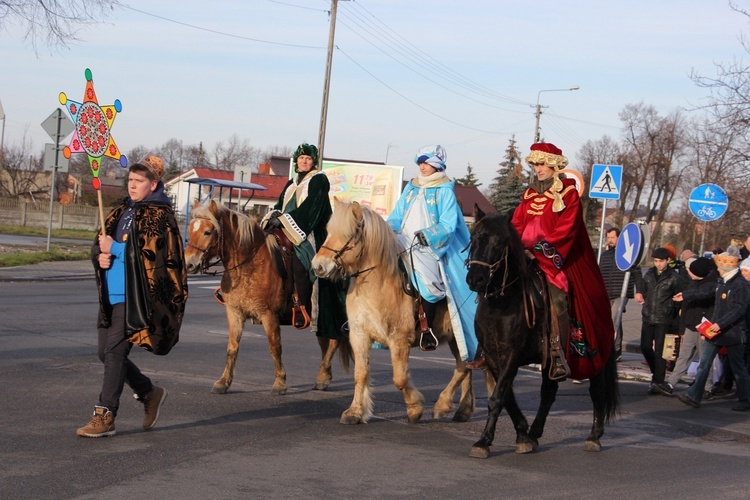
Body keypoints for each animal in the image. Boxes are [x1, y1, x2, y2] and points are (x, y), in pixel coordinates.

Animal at [185, 199, 340, 394]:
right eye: (190, 229)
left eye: (208, 232)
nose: (189, 264)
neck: (249, 266)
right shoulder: (234, 312)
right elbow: (232, 347)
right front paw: (223, 382)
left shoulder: (269, 314)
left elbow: (275, 347)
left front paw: (280, 382)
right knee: (325, 341)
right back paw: (324, 376)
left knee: (333, 341)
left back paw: (322, 377)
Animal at [312, 199, 494, 426]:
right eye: (328, 231)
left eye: (351, 233)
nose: (318, 266)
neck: (378, 284)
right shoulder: (359, 336)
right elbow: (360, 374)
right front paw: (355, 412)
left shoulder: (399, 340)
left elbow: (399, 378)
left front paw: (415, 408)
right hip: (457, 338)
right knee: (466, 366)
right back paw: (461, 410)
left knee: (466, 367)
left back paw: (445, 405)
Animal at [468, 206, 620, 454]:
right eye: (473, 238)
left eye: (499, 242)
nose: (475, 279)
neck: (502, 304)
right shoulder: (491, 356)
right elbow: (505, 396)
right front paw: (522, 434)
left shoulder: (512, 353)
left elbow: (498, 397)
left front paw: (484, 441)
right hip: (552, 360)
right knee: (548, 393)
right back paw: (534, 433)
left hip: (595, 357)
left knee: (597, 391)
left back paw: (594, 436)